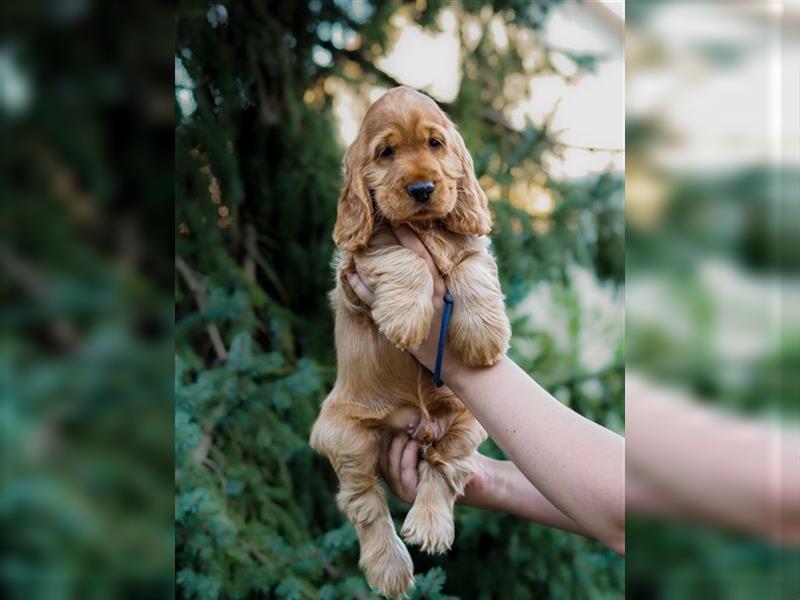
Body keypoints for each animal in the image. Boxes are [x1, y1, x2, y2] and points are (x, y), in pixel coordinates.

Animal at [310, 86, 510, 596]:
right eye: (386, 153)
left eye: (435, 144)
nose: (421, 189)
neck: (425, 227)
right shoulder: (354, 270)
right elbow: (400, 255)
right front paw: (404, 317)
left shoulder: (474, 248)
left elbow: (472, 266)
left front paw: (484, 333)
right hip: (345, 434)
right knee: (363, 502)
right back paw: (390, 566)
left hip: (469, 421)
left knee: (443, 466)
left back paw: (430, 525)